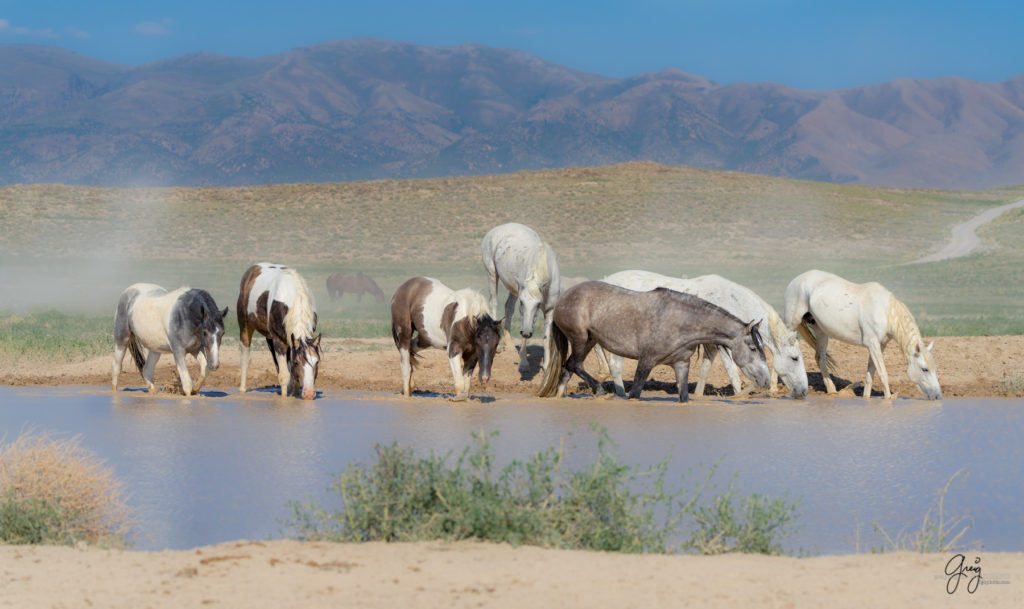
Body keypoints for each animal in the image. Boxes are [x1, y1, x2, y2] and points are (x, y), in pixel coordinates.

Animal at [237, 262, 321, 401]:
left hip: (271, 338)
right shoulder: (279, 341)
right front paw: (284, 397)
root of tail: (255, 267)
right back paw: (242, 389)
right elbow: (284, 375)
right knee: (245, 357)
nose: (309, 394)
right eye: (297, 362)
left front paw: (294, 393)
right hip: (245, 325)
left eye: (317, 361)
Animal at [479, 223, 561, 374]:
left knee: (508, 307)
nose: (528, 332)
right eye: (522, 304)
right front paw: (524, 364)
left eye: (538, 304)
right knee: (493, 303)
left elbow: (547, 338)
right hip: (492, 274)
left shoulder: (550, 310)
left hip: (513, 289)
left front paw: (546, 366)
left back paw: (510, 345)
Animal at [536, 282, 770, 405]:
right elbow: (636, 392)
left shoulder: (681, 365)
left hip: (589, 341)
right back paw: (600, 390)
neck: (680, 321)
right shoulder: (646, 361)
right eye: (753, 348)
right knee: (574, 365)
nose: (767, 381)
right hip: (580, 338)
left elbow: (684, 396)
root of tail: (564, 298)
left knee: (568, 368)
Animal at [598, 272, 806, 401]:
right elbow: (733, 372)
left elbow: (705, 369)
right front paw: (739, 395)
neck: (731, 300)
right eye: (795, 358)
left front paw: (697, 395)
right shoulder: (725, 345)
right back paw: (620, 394)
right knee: (615, 366)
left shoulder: (711, 344)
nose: (804, 391)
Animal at [782, 270, 942, 403]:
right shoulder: (873, 344)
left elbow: (870, 374)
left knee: (820, 358)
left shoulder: (879, 346)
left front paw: (866, 397)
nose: (937, 396)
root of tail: (796, 280)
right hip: (791, 325)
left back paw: (832, 391)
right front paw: (888, 399)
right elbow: (883, 374)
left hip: (820, 330)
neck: (884, 311)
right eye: (925, 369)